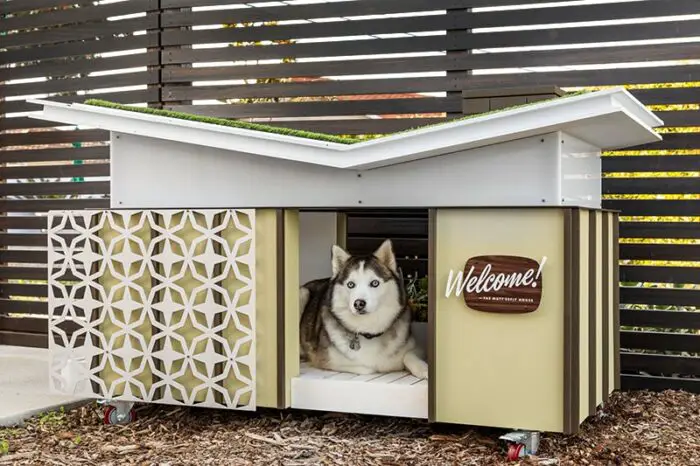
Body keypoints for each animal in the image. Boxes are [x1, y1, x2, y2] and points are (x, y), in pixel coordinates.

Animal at [300, 240, 430, 378]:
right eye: (350, 284)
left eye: (374, 283)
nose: (359, 303)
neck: (368, 330)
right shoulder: (324, 357)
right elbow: (368, 367)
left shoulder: (416, 346)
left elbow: (408, 355)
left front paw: (423, 369)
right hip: (303, 293)